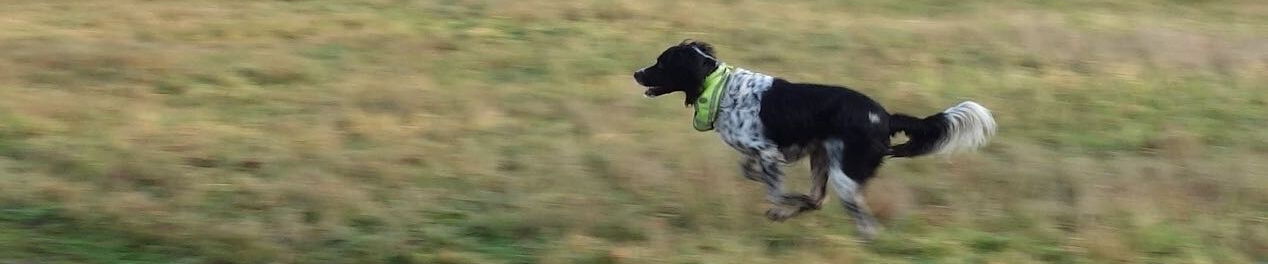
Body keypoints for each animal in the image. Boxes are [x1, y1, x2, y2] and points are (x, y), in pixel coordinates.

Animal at [628, 39, 994, 238]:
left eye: (661, 62)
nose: (636, 73)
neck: (720, 88)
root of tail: (885, 116)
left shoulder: (769, 152)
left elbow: (774, 188)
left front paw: (783, 201)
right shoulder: (770, 154)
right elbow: (750, 171)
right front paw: (780, 201)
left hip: (845, 175)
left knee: (863, 224)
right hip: (823, 157)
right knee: (819, 198)